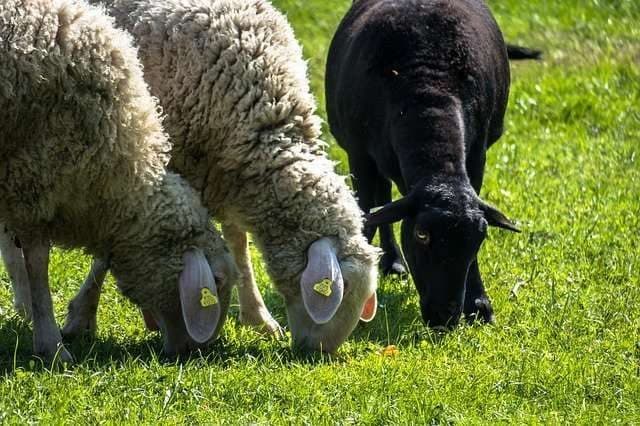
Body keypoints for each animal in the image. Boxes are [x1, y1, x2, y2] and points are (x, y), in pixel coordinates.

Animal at [48, 0, 380, 353]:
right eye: (334, 290)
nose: (316, 353)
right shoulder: (136, 168)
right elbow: (108, 249)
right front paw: (81, 316)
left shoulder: (225, 172)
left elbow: (238, 243)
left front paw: (258, 317)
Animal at [325, 0, 520, 328]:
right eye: (421, 235)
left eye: (479, 239)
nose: (445, 317)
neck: (430, 91)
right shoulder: (359, 155)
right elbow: (366, 217)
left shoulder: (477, 156)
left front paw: (479, 304)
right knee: (382, 201)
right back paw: (391, 261)